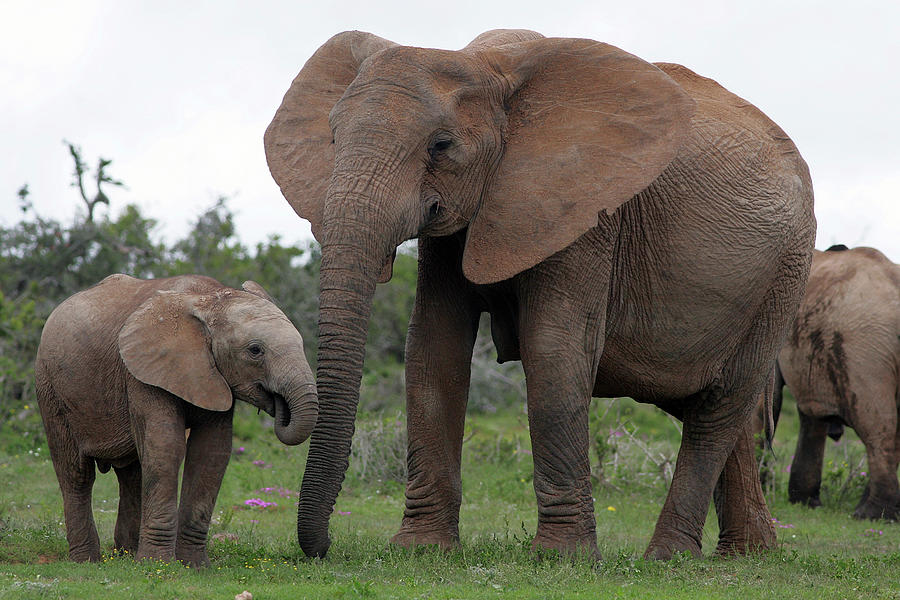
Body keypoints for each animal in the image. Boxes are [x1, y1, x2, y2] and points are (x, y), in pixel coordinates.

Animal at [35, 274, 316, 564]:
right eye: (255, 350)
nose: (279, 404)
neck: (210, 298)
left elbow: (211, 453)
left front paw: (193, 565)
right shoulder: (143, 369)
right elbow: (165, 446)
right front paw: (157, 564)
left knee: (132, 474)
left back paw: (126, 556)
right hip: (49, 386)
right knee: (76, 473)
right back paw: (87, 560)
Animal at [266, 28, 816, 560]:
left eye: (441, 146)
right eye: (332, 137)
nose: (325, 549)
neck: (488, 66)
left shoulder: (585, 210)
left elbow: (555, 350)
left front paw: (563, 558)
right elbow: (432, 348)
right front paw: (421, 550)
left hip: (784, 274)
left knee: (719, 409)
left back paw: (667, 557)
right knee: (712, 407)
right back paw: (748, 554)